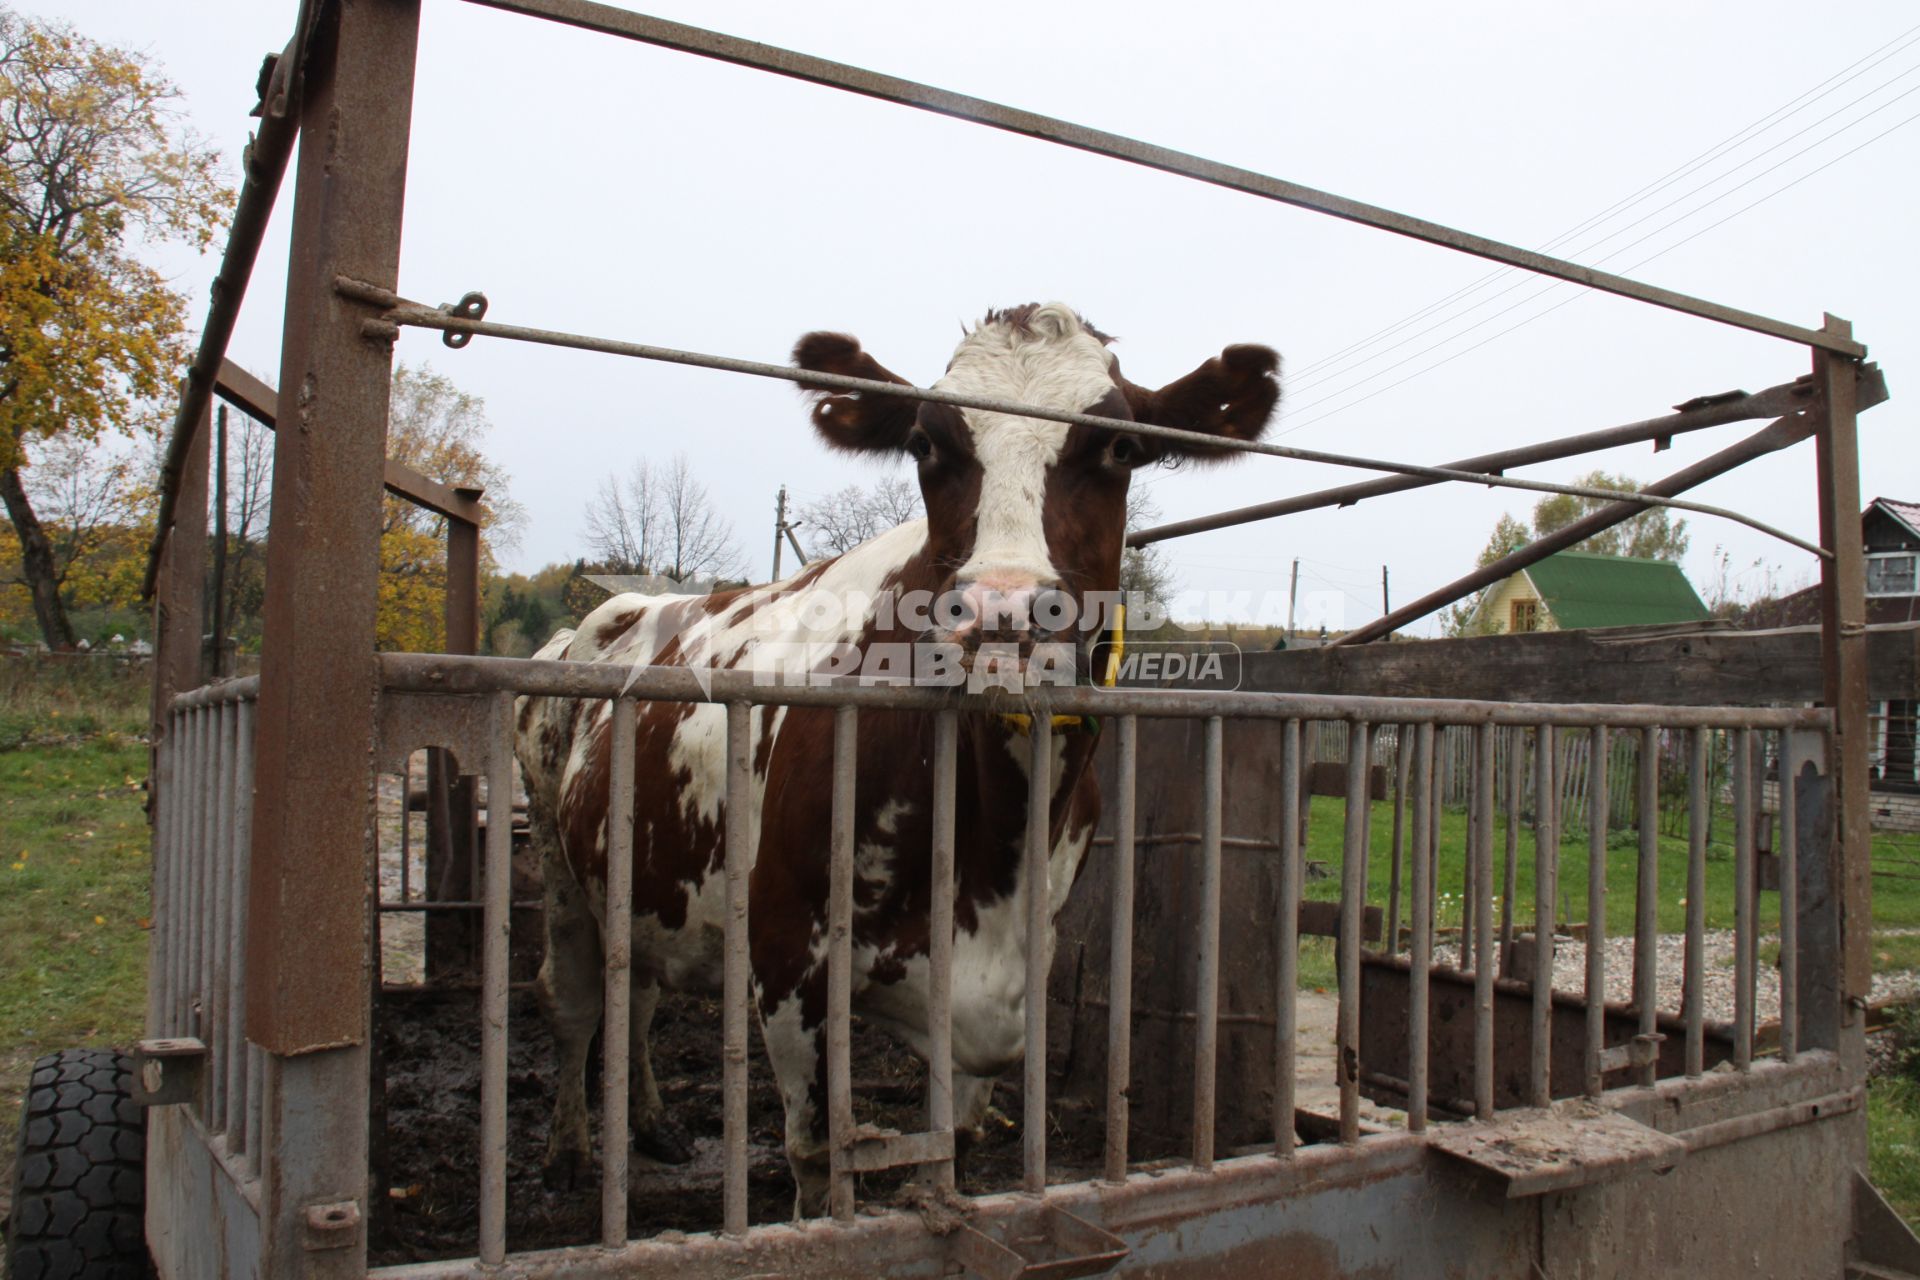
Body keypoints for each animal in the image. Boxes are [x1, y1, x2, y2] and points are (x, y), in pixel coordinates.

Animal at [518, 305, 1282, 1220]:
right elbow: (818, 1159)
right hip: (558, 859)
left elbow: (948, 1154)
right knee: (571, 1000)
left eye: (1121, 448)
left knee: (634, 991)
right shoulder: (787, 960)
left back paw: (651, 1126)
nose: (1003, 615)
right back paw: (568, 1150)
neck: (991, 833)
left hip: (641, 874)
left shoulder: (1008, 971)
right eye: (924, 444)